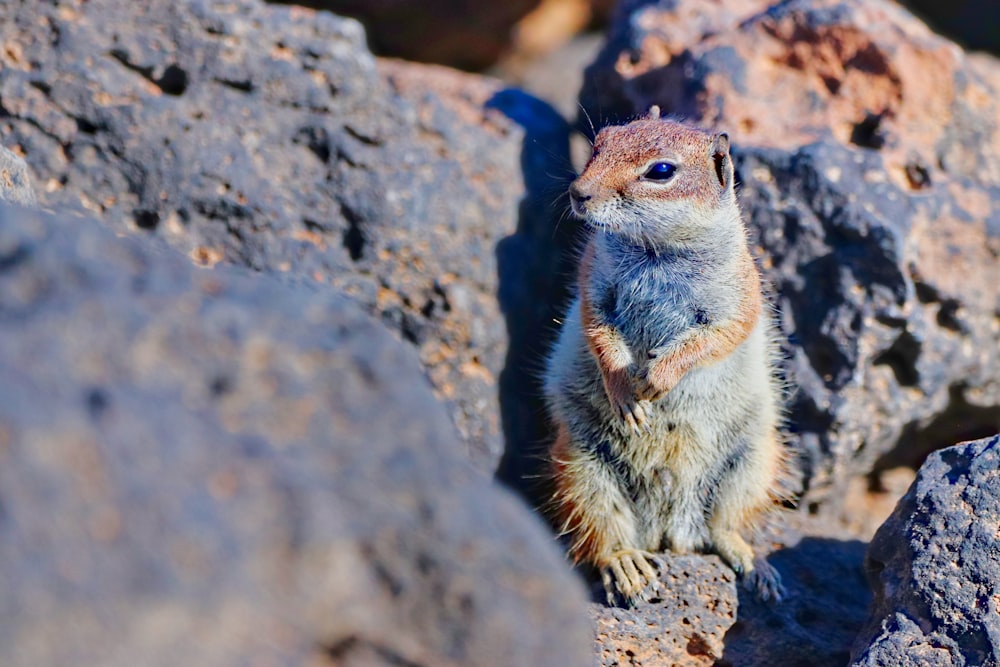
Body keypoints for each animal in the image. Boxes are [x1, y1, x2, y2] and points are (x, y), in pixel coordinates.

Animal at [548, 108, 788, 604]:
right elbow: (598, 331)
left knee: (723, 526)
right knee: (602, 531)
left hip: (752, 462)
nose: (579, 193)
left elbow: (714, 339)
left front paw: (658, 376)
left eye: (661, 171)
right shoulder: (593, 285)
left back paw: (753, 563)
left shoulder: (740, 300)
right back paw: (627, 565)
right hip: (581, 466)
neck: (655, 251)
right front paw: (625, 391)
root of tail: (668, 531)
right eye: (600, 142)